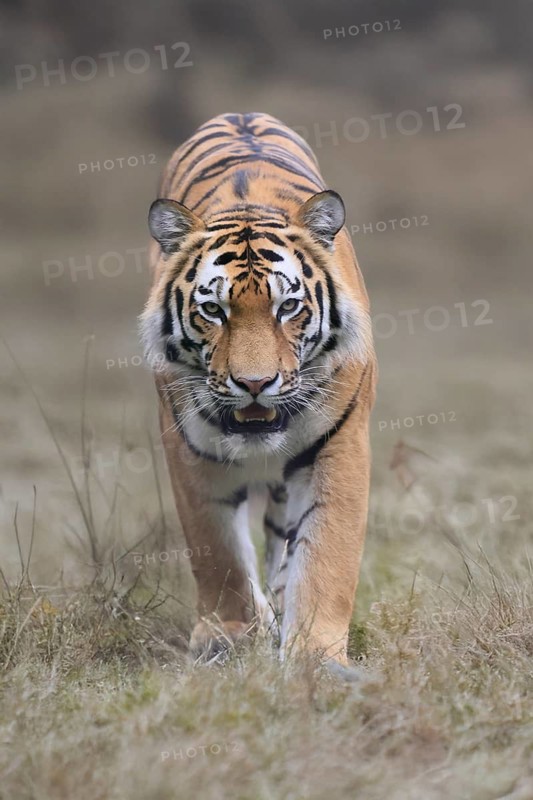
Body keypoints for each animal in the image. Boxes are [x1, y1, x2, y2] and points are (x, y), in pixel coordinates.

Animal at [140, 112, 376, 670]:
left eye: (287, 307)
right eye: (213, 310)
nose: (254, 384)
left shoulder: (341, 443)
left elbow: (327, 553)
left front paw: (314, 654)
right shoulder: (187, 450)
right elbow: (218, 551)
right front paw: (230, 636)